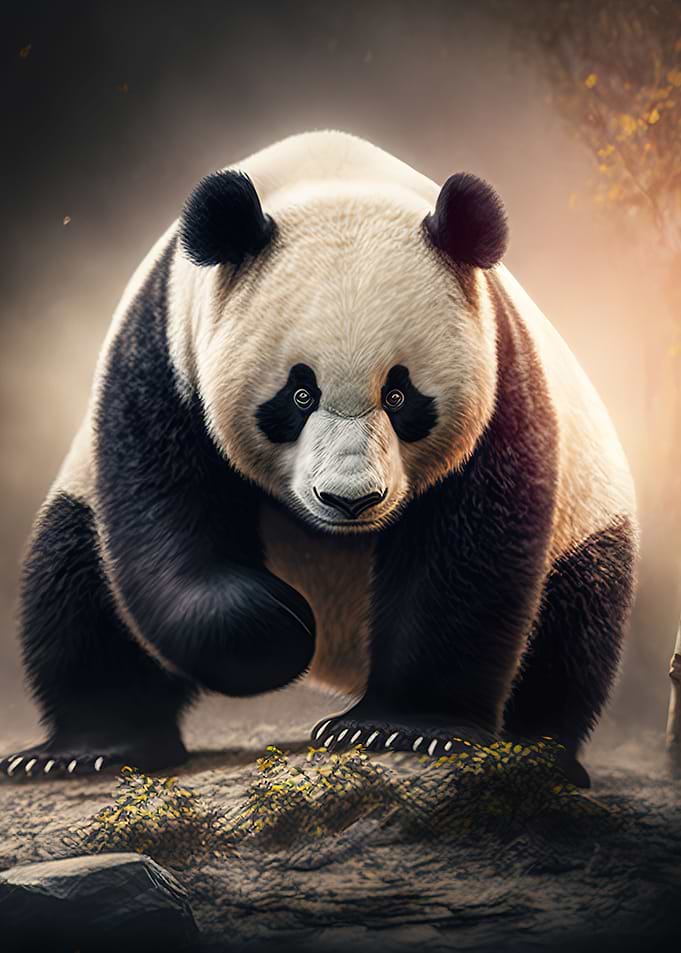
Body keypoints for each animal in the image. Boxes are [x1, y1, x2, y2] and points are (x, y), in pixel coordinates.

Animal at [1, 131, 637, 787]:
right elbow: (166, 534)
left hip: (584, 518)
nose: (350, 499)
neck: (333, 179)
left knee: (573, 630)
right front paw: (279, 628)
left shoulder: (500, 375)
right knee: (74, 588)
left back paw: (539, 755)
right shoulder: (163, 359)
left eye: (400, 395)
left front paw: (398, 728)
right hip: (82, 500)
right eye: (299, 394)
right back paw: (89, 749)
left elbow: (468, 558)